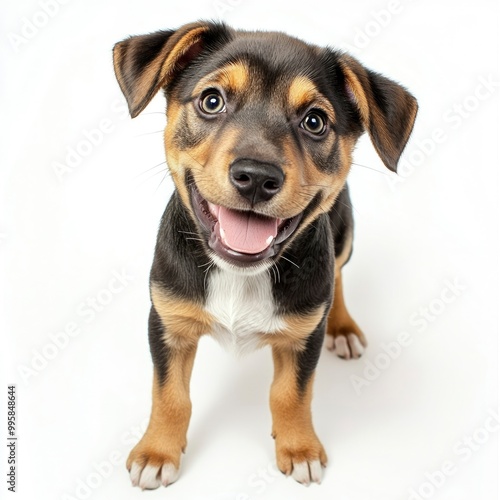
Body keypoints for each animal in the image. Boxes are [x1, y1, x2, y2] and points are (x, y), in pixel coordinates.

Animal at [112, 20, 418, 488]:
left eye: (315, 121)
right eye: (212, 100)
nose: (256, 176)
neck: (240, 274)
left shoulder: (304, 334)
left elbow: (290, 394)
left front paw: (300, 449)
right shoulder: (167, 320)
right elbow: (170, 394)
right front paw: (156, 452)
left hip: (344, 236)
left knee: (338, 275)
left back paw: (343, 326)